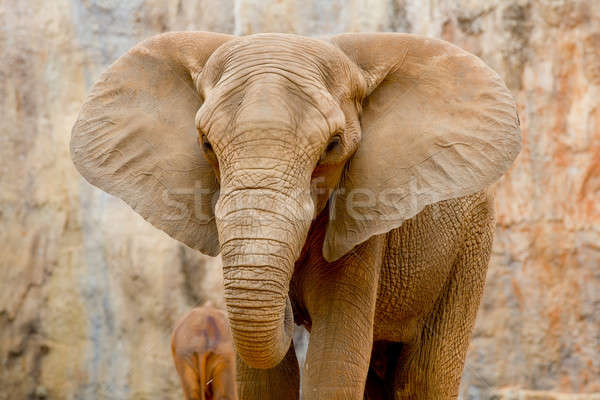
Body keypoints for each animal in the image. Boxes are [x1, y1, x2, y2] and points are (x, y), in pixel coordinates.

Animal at [70, 32, 520, 400]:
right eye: (206, 145)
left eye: (333, 146)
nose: (291, 309)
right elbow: (266, 379)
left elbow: (334, 358)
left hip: (471, 244)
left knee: (424, 378)